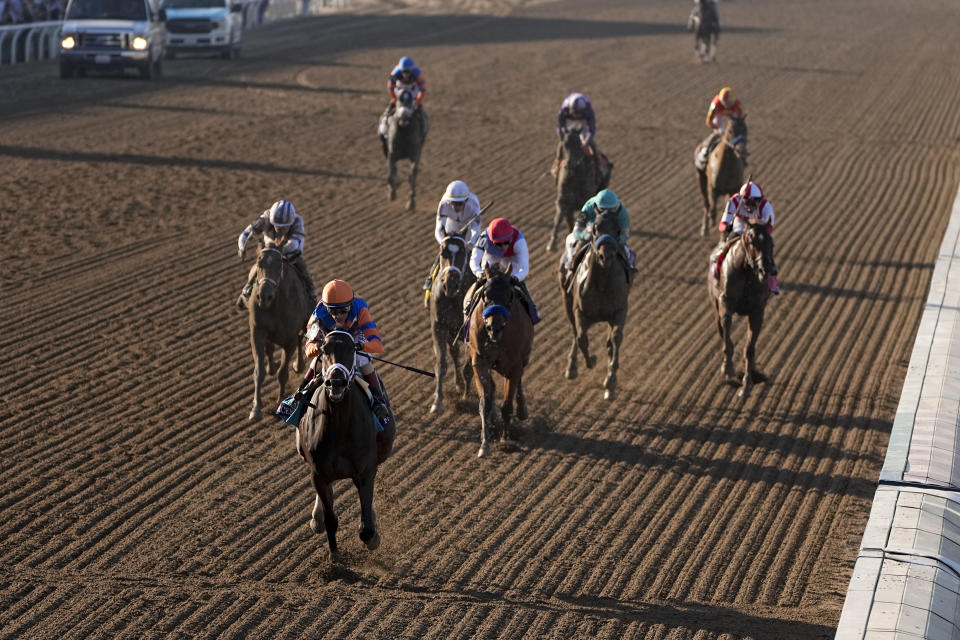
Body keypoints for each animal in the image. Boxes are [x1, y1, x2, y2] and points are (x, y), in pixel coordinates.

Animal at [242, 245, 314, 420]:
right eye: (258, 263)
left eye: (279, 265)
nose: (264, 296)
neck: (275, 305)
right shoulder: (257, 334)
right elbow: (259, 372)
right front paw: (256, 409)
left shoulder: (290, 339)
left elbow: (283, 373)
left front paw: (280, 403)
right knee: (270, 349)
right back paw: (272, 366)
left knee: (301, 339)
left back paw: (298, 365)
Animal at [560, 210, 632, 400]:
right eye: (594, 229)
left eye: (617, 229)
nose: (605, 256)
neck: (602, 283)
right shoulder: (579, 310)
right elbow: (582, 338)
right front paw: (591, 360)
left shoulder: (620, 310)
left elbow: (615, 338)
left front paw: (611, 382)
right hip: (567, 300)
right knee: (575, 333)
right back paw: (571, 367)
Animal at [708, 222, 776, 398]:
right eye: (752, 242)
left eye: (771, 243)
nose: (766, 270)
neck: (747, 272)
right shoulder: (725, 304)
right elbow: (727, 336)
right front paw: (727, 368)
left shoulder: (757, 312)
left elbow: (749, 349)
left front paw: (747, 385)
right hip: (715, 305)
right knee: (721, 332)